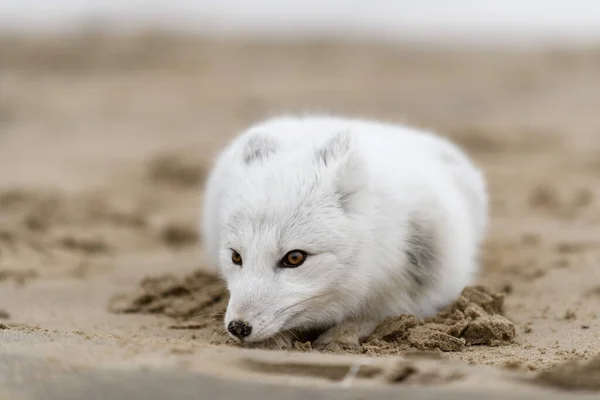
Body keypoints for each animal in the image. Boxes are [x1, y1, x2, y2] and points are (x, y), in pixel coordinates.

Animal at [202, 115, 488, 346]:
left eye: (294, 258)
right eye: (235, 256)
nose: (238, 327)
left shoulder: (417, 290)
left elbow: (376, 316)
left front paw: (341, 336)